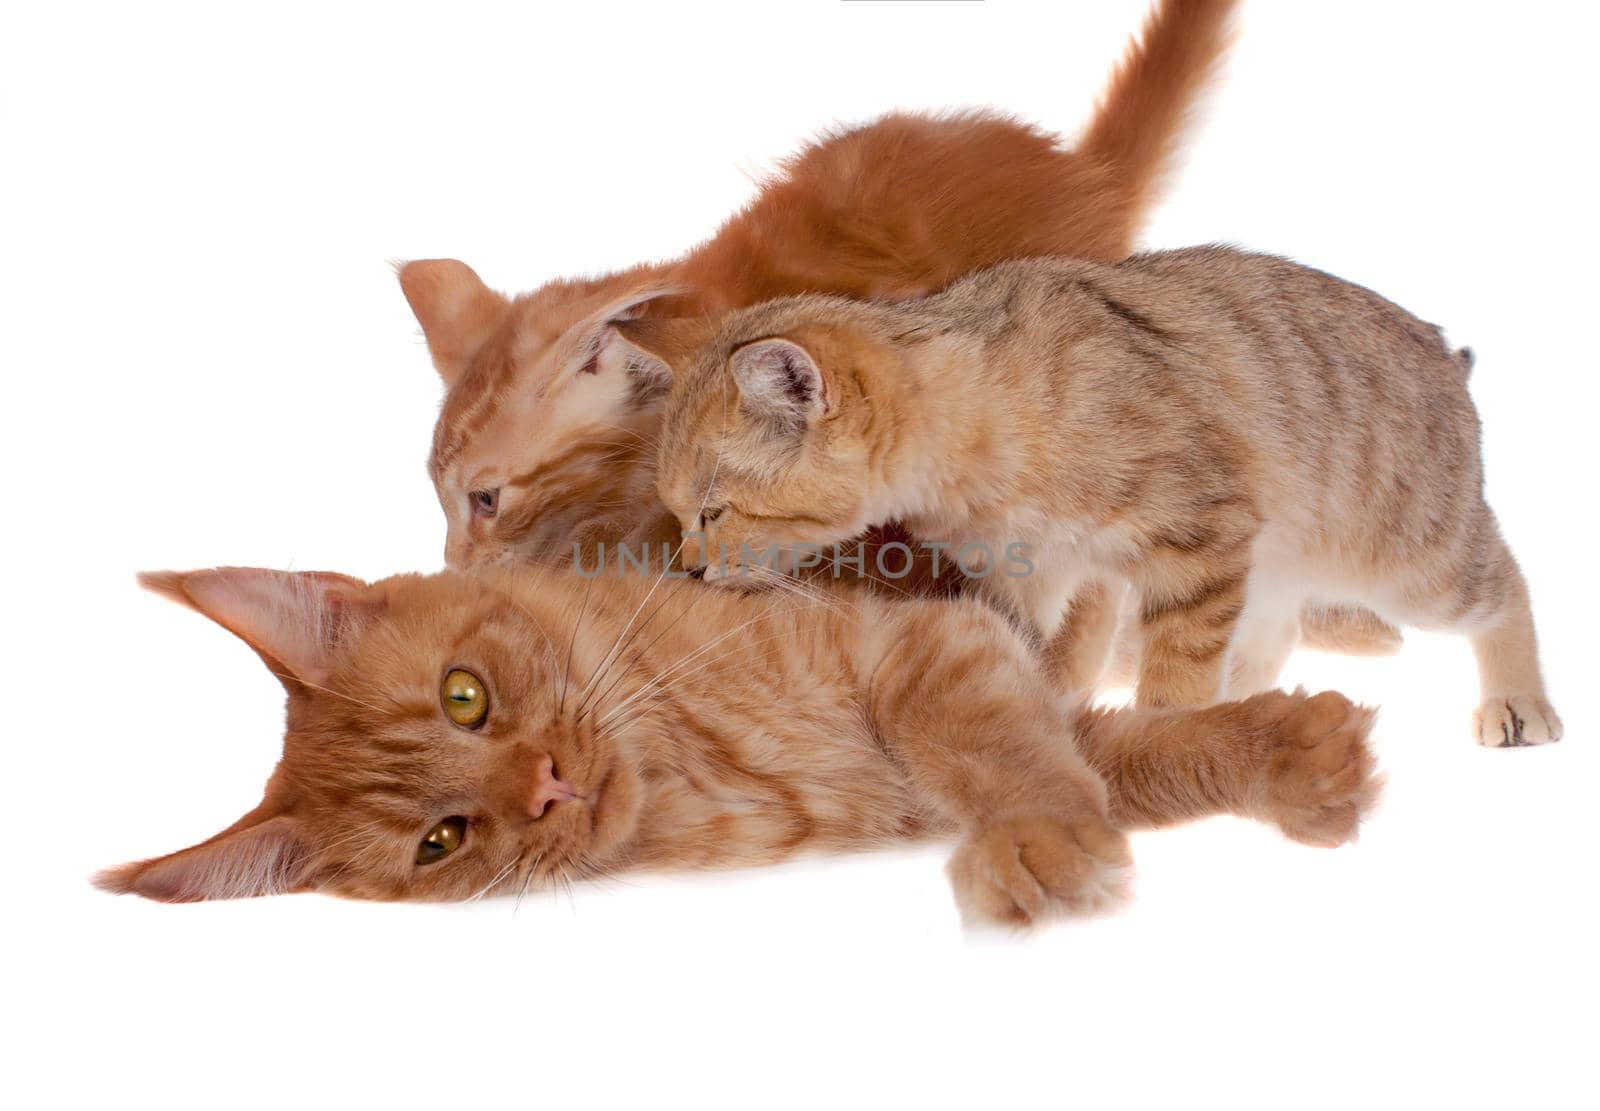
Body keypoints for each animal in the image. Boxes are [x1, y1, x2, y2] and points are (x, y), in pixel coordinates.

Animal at [96, 566, 1376, 922]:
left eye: (465, 696)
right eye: (441, 841)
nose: (547, 786)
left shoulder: (931, 645)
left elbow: (1017, 748)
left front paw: (1038, 838)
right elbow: (1133, 761)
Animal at [649, 244, 1561, 749]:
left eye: (712, 511)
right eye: (681, 514)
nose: (687, 568)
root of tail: (1445, 354)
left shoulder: (1195, 541)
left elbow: (1173, 672)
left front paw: (1164, 734)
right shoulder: (1051, 573)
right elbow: (1053, 656)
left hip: (1413, 559)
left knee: (1507, 582)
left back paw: (1517, 701)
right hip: (1281, 568)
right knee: (1274, 635)